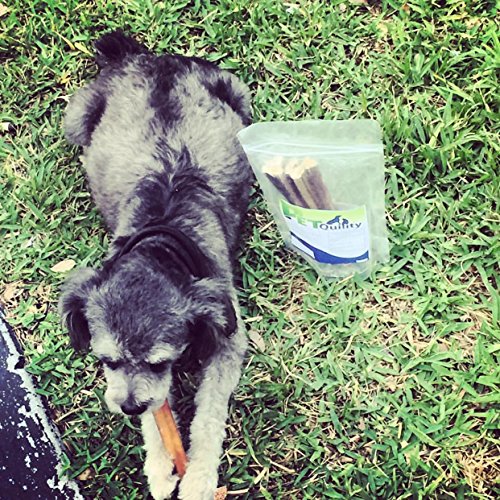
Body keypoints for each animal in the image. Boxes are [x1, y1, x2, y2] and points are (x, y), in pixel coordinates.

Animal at [59, 30, 252, 500]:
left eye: (160, 362)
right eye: (106, 360)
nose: (128, 406)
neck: (162, 236)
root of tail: (143, 57)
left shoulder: (229, 338)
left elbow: (209, 414)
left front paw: (199, 476)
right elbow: (158, 414)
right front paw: (161, 467)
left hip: (242, 97)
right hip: (74, 120)